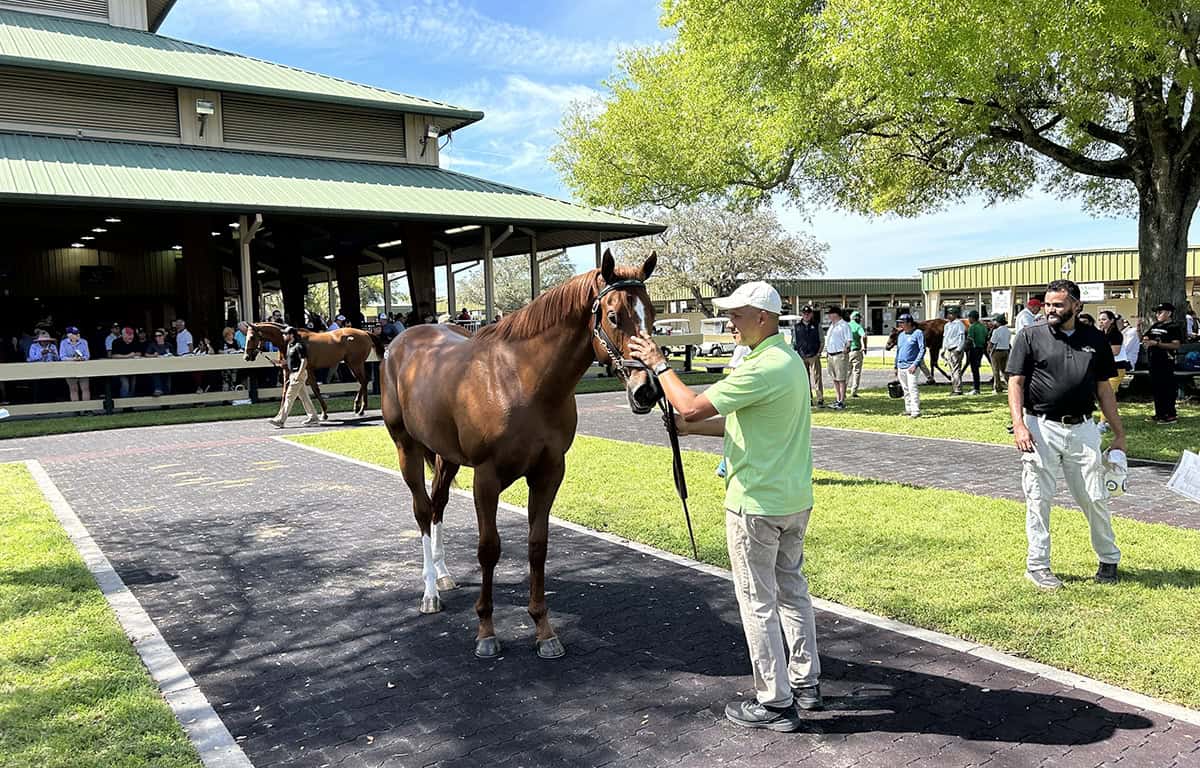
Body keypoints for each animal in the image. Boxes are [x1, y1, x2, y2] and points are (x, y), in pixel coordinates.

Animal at [244, 322, 385, 417]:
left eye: (251, 337)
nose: (246, 356)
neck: (290, 341)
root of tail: (365, 333)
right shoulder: (287, 371)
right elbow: (285, 392)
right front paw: (279, 415)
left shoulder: (308, 369)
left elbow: (315, 389)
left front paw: (324, 413)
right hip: (352, 364)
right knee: (363, 381)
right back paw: (357, 407)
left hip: (355, 363)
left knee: (364, 381)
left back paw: (361, 409)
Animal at [381, 251, 660, 660]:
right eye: (613, 316)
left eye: (652, 314)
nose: (647, 391)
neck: (520, 380)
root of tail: (401, 342)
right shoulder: (486, 477)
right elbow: (489, 549)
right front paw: (486, 631)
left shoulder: (549, 472)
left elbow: (537, 546)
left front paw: (544, 630)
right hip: (407, 448)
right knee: (421, 510)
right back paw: (430, 592)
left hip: (447, 456)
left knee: (437, 506)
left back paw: (444, 576)